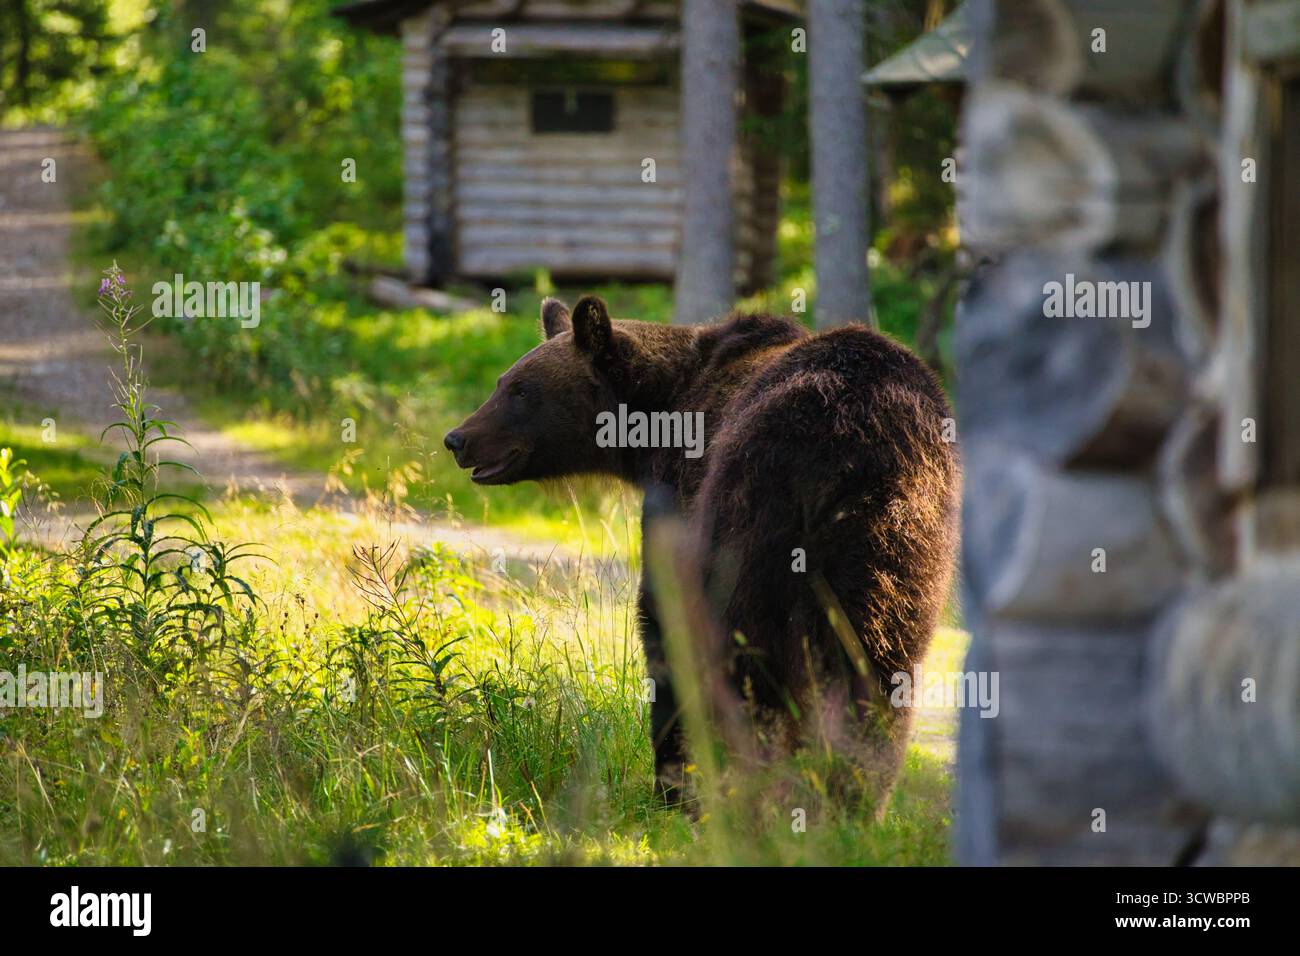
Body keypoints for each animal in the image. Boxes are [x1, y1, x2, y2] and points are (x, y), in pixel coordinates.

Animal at [444, 295, 960, 806]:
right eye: (504, 382)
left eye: (521, 390)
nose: (458, 438)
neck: (658, 415)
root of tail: (859, 438)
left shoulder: (682, 498)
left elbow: (662, 621)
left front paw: (670, 780)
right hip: (905, 548)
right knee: (884, 664)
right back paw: (854, 797)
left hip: (757, 513)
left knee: (755, 657)